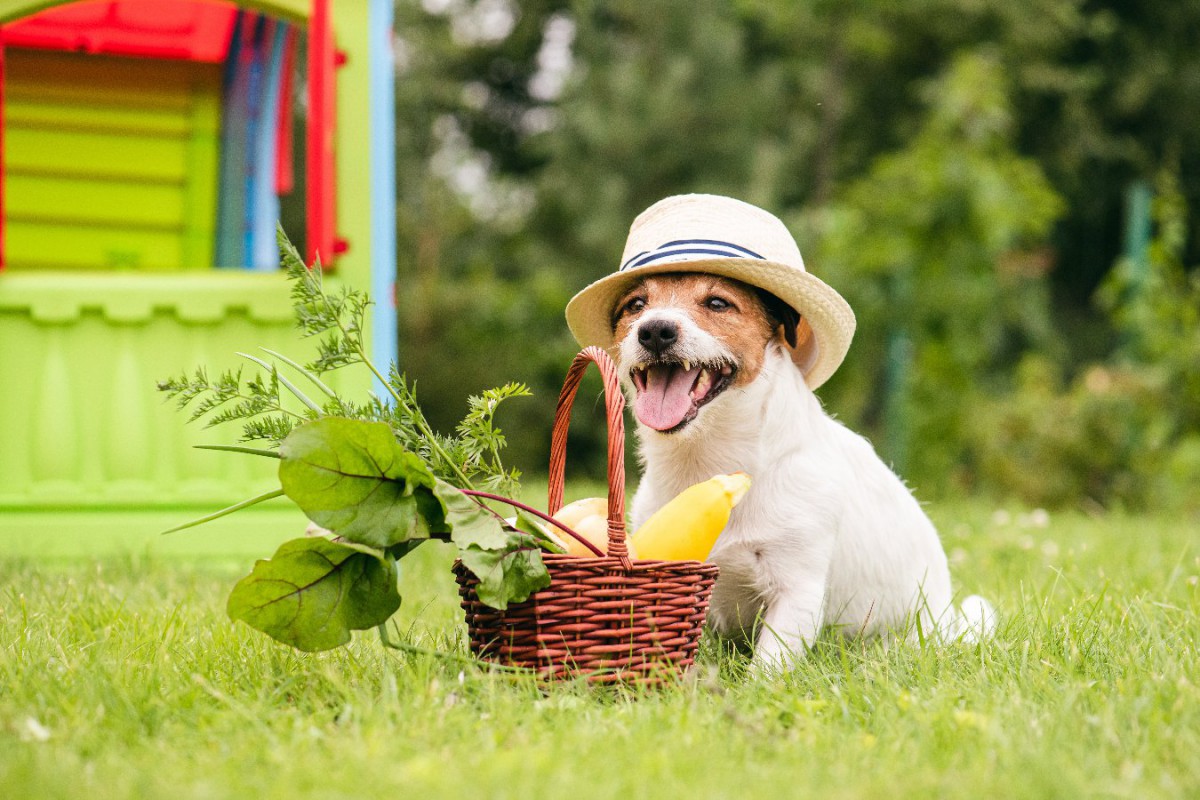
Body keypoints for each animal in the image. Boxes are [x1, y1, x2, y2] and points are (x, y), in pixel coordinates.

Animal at [564, 194, 993, 671]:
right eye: (636, 305)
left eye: (718, 304)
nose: (655, 330)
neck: (711, 460)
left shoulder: (797, 590)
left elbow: (767, 668)